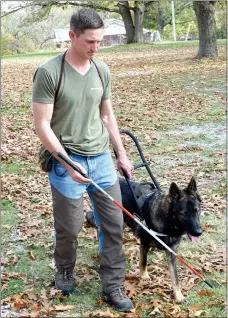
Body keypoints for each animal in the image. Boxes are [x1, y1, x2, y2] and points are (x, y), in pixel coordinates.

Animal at [118, 176, 202, 304]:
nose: (199, 232)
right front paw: (144, 276)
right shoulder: (144, 243)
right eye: (184, 214)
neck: (168, 222)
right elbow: (143, 261)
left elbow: (175, 277)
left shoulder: (171, 252)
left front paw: (179, 296)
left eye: (196, 211)